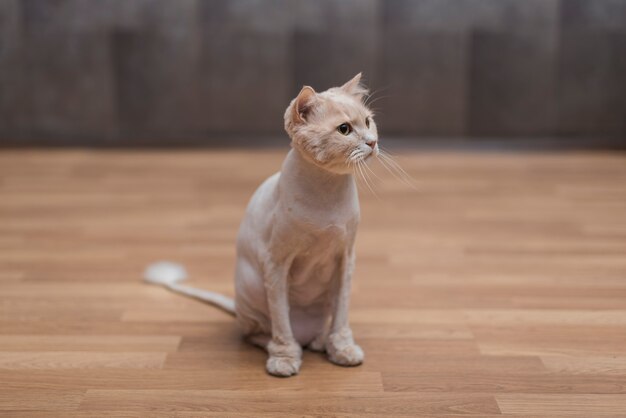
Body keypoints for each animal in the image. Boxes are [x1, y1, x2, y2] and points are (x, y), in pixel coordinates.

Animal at [145, 73, 376, 378]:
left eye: (368, 122)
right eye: (345, 129)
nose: (373, 142)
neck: (327, 193)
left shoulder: (345, 259)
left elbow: (342, 316)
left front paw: (343, 350)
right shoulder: (276, 262)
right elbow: (281, 320)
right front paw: (285, 359)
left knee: (317, 327)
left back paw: (318, 341)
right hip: (253, 289)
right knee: (258, 332)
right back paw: (284, 347)